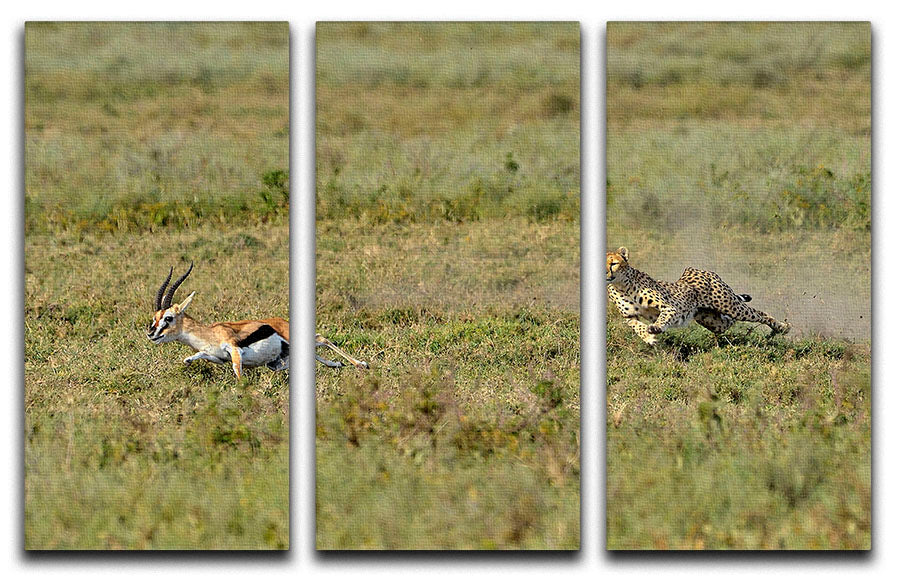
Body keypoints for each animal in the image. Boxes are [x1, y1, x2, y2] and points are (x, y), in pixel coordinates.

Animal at [608, 248, 792, 346]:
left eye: (613, 263)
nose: (606, 273)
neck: (622, 285)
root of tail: (699, 270)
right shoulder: (629, 316)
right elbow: (636, 326)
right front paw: (649, 337)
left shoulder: (670, 307)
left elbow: (662, 318)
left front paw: (655, 328)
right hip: (712, 320)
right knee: (728, 322)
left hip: (730, 305)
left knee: (759, 313)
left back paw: (783, 327)